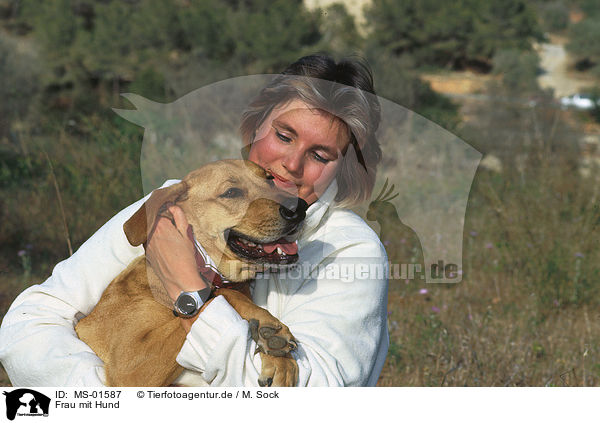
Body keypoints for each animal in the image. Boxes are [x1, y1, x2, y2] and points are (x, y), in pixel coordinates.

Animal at [75, 161, 308, 390]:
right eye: (231, 192)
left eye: (270, 179)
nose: (300, 207)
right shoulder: (130, 368)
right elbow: (221, 294)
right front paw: (269, 328)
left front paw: (281, 359)